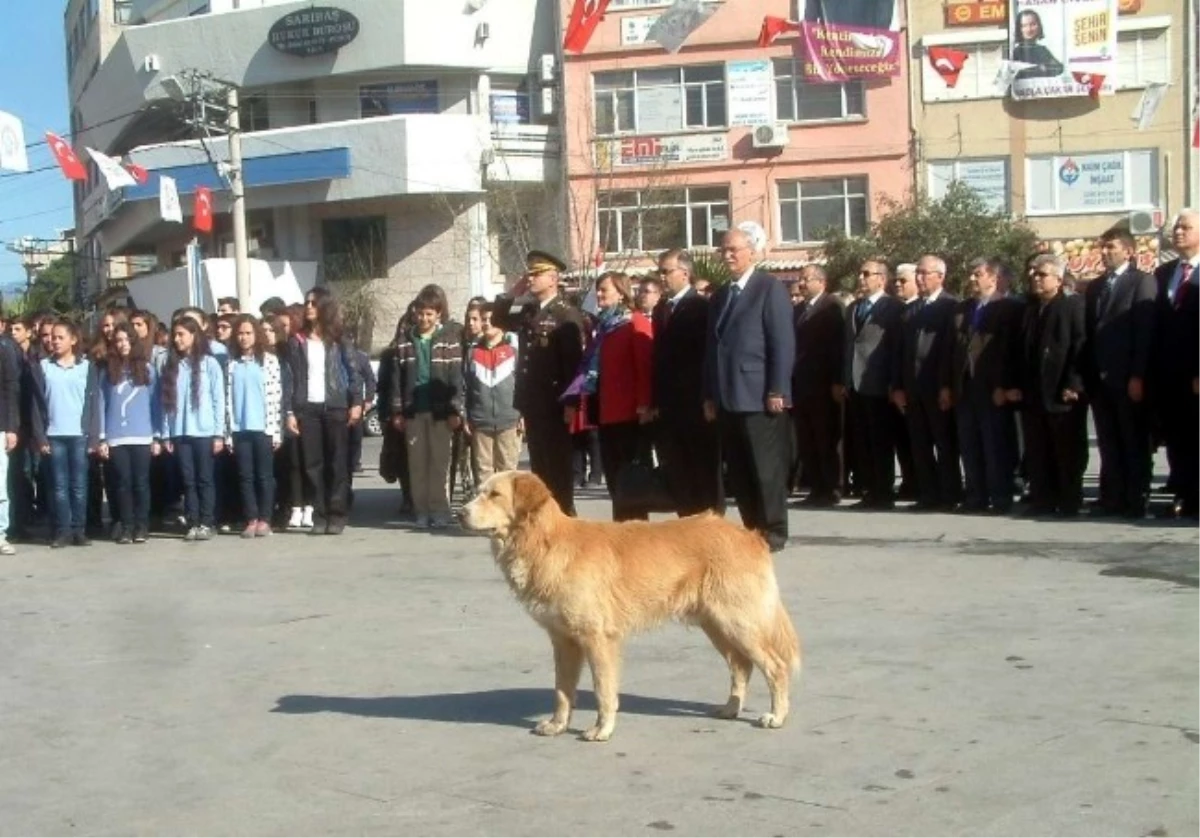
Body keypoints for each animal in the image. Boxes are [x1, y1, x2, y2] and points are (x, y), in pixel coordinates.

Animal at [463, 470, 801, 739]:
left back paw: (777, 716)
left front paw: (601, 729)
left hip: (739, 621)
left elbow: (603, 689)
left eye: (494, 495)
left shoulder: (597, 638)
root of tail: (751, 535)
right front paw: (558, 725)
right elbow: (562, 690)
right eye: (478, 491)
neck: (544, 542)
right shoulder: (563, 640)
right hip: (716, 624)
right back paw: (731, 708)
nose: (459, 514)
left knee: (775, 666)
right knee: (741, 666)